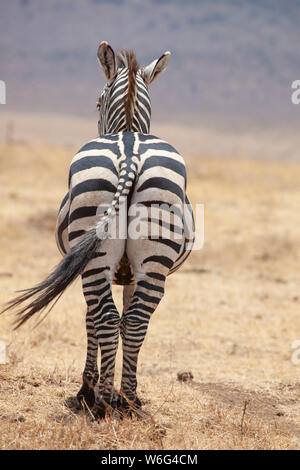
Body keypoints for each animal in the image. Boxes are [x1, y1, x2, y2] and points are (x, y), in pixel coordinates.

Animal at [2, 42, 195, 418]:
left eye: (96, 102)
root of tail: (130, 151)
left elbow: (91, 320)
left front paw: (86, 389)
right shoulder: (130, 273)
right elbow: (125, 316)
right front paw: (123, 392)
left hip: (93, 256)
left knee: (104, 317)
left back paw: (101, 401)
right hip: (152, 258)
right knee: (134, 321)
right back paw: (130, 401)